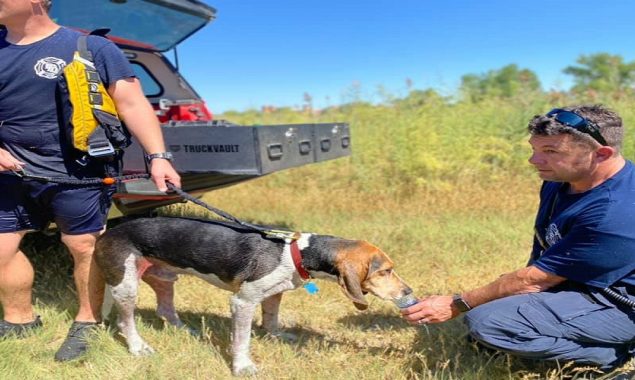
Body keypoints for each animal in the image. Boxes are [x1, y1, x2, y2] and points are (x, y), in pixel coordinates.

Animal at [94, 215, 412, 376]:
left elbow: (271, 318)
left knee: (165, 309)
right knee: (125, 321)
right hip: (126, 285)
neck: (297, 251)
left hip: (163, 277)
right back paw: (138, 347)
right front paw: (242, 365)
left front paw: (277, 336)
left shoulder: (273, 294)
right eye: (385, 271)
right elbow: (242, 340)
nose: (408, 291)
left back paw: (184, 330)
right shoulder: (243, 302)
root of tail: (110, 227)